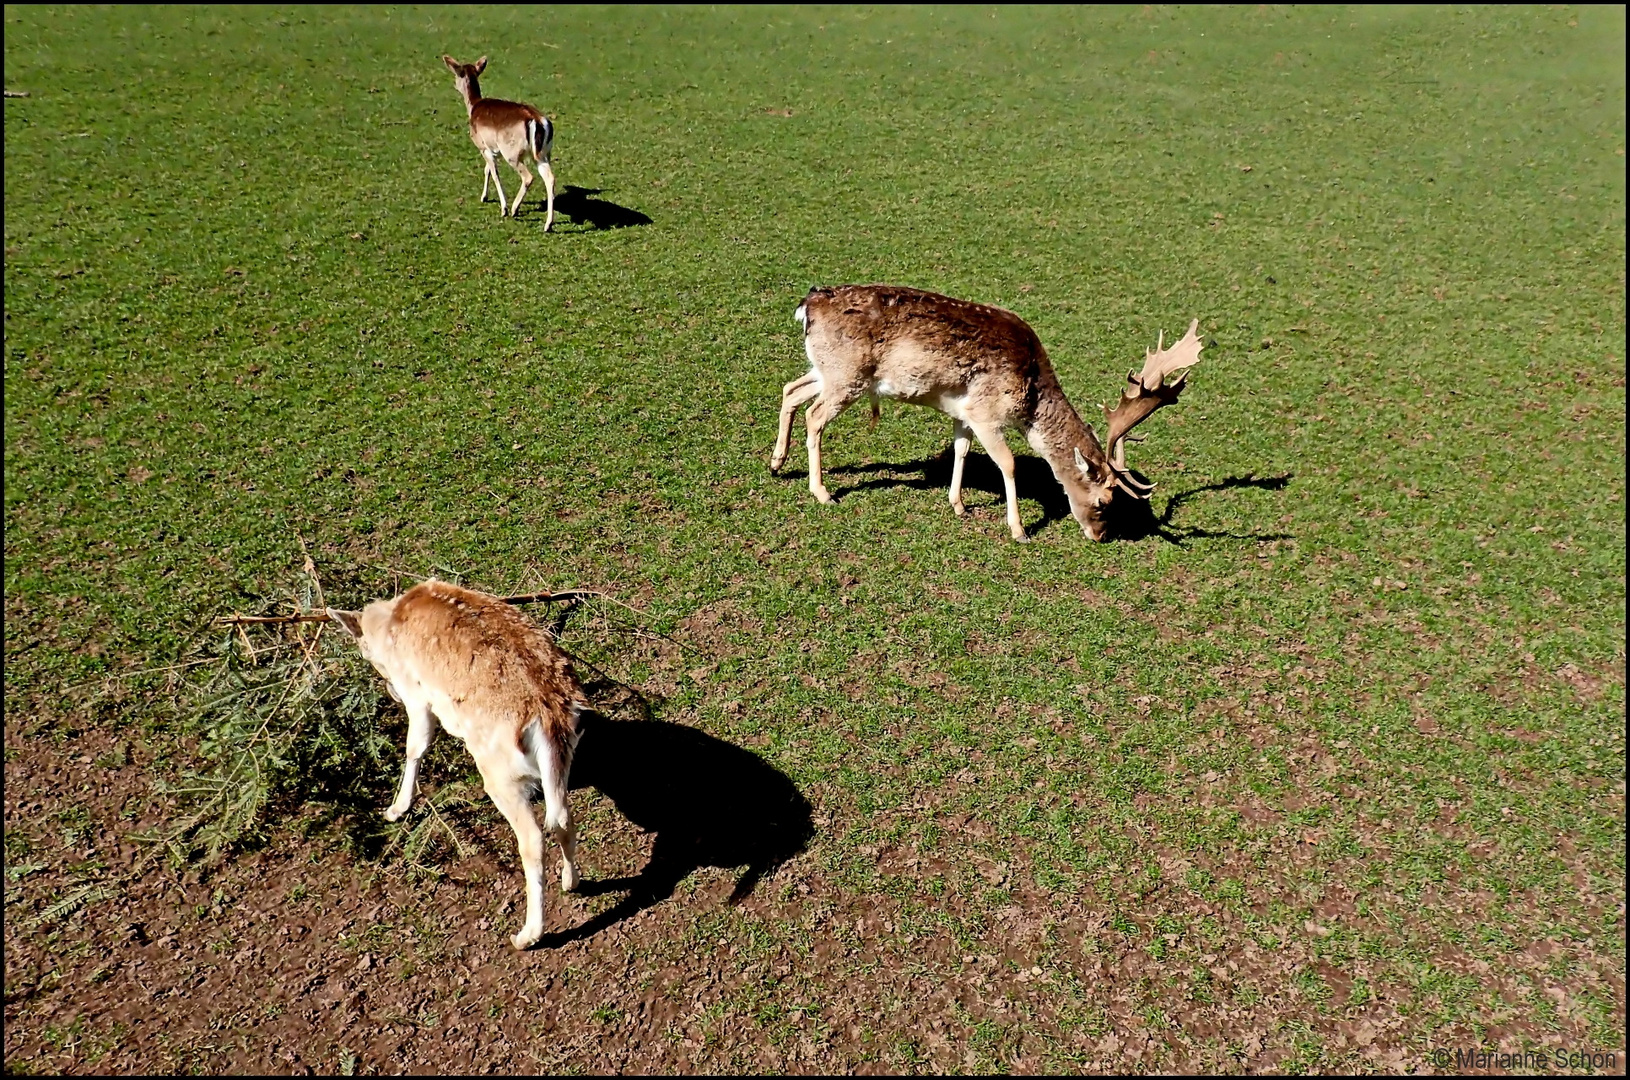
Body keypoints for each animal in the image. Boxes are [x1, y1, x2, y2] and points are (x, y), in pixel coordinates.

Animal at [329, 579, 586, 951]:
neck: (390, 620)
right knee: (563, 817)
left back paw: (527, 934)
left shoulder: (417, 695)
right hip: (562, 760)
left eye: (365, 654)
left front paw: (396, 809)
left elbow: (415, 745)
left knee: (533, 838)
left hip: (499, 772)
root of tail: (549, 712)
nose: (391, 692)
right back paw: (571, 881)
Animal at [443, 54, 557, 228]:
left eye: (457, 73)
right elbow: (487, 170)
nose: (455, 85)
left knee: (528, 177)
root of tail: (537, 120)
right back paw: (548, 225)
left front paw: (503, 208)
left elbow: (495, 173)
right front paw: (484, 197)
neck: (473, 106)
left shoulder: (482, 146)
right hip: (544, 153)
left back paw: (515, 209)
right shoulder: (493, 149)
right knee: (550, 178)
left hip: (512, 153)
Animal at [762, 285, 1199, 540]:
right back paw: (822, 493)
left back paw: (776, 462)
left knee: (790, 390)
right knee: (814, 415)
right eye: (1105, 501)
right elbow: (1007, 463)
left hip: (829, 370)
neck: (1031, 396)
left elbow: (960, 449)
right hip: (847, 376)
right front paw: (1019, 529)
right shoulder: (987, 412)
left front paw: (958, 504)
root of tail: (807, 305)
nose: (1101, 535)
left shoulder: (963, 411)